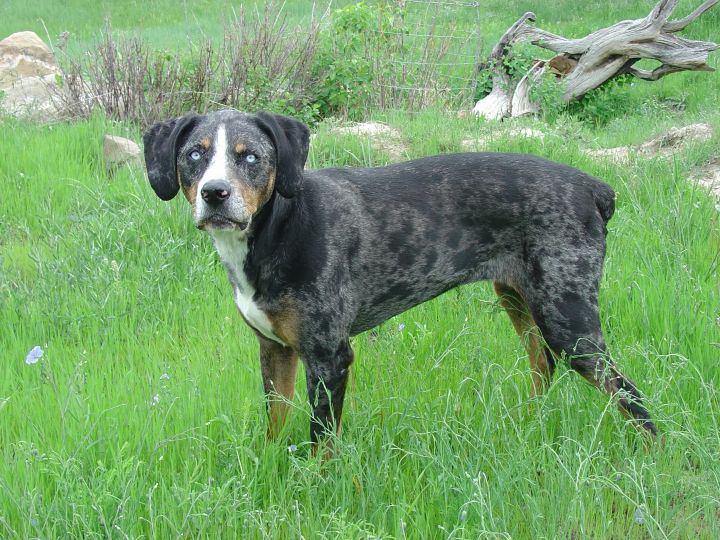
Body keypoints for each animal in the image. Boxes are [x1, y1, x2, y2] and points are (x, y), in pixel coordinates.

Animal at [142, 108, 660, 442]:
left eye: (250, 156)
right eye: (194, 154)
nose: (215, 193)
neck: (278, 228)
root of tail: (594, 187)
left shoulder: (329, 356)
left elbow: (321, 440)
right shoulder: (275, 350)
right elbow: (275, 424)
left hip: (571, 322)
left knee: (631, 399)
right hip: (521, 298)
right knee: (543, 365)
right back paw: (528, 424)